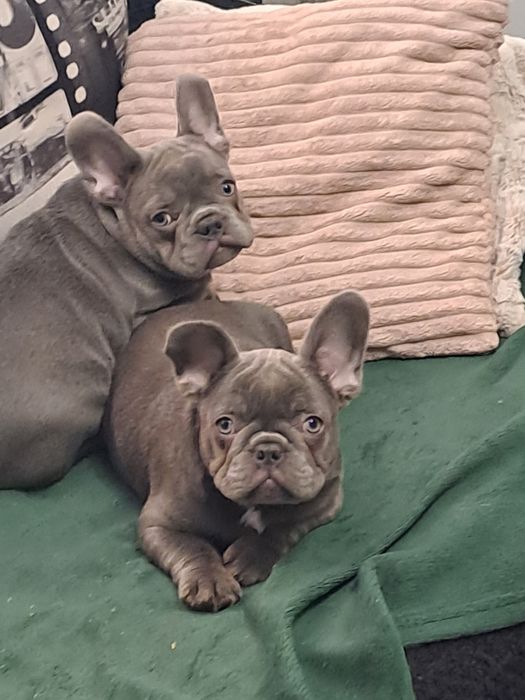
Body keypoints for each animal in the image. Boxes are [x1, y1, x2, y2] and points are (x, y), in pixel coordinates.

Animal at [106, 292, 369, 611]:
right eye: (225, 424)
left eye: (312, 423)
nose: (268, 448)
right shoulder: (158, 524)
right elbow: (192, 546)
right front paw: (209, 580)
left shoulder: (325, 499)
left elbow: (282, 527)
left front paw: (250, 555)